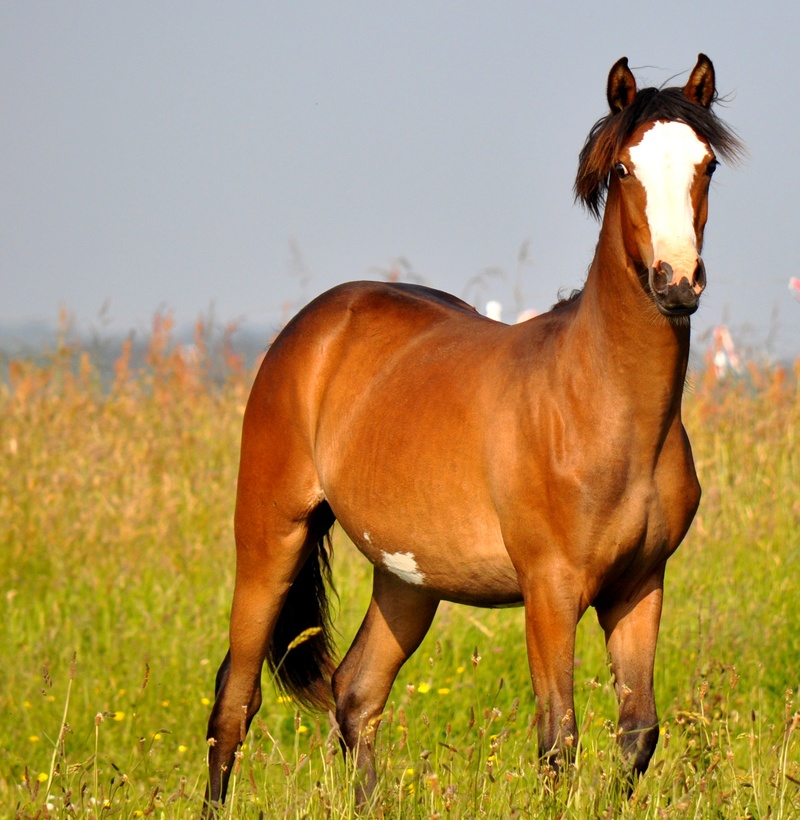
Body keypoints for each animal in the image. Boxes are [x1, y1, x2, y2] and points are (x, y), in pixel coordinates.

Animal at [203, 54, 740, 812]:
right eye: (625, 167)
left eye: (707, 164)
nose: (677, 282)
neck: (604, 407)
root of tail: (313, 326)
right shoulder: (550, 591)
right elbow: (558, 741)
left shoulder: (640, 586)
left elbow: (637, 733)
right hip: (270, 537)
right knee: (236, 700)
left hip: (406, 578)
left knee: (356, 693)